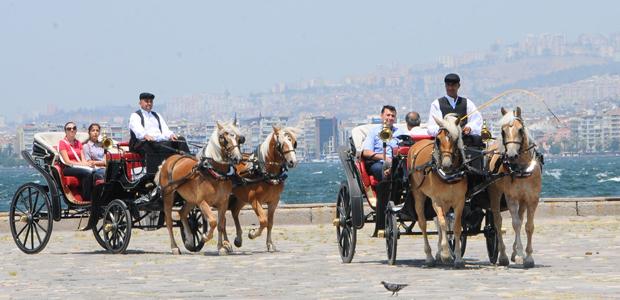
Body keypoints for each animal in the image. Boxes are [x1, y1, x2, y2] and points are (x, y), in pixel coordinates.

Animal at [155, 120, 242, 254]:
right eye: (224, 139)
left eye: (238, 138)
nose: (237, 158)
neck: (214, 171)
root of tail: (167, 161)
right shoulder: (202, 201)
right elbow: (213, 221)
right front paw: (205, 237)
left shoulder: (223, 202)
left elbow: (221, 224)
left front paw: (221, 247)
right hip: (168, 195)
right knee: (169, 221)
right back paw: (174, 247)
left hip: (191, 199)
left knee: (182, 213)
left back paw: (190, 239)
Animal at [406, 113, 464, 268]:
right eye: (438, 139)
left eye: (456, 139)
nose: (446, 164)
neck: (449, 175)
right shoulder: (436, 200)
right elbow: (443, 223)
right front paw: (446, 254)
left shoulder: (460, 201)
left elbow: (456, 226)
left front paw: (457, 258)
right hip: (419, 195)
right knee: (423, 223)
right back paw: (430, 256)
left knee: (439, 222)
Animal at [486, 107, 540, 268]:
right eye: (503, 131)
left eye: (520, 130)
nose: (511, 155)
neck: (521, 168)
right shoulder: (511, 198)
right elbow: (515, 224)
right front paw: (522, 253)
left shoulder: (532, 198)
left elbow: (528, 226)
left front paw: (528, 257)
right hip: (495, 193)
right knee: (497, 222)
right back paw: (503, 256)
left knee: (520, 218)